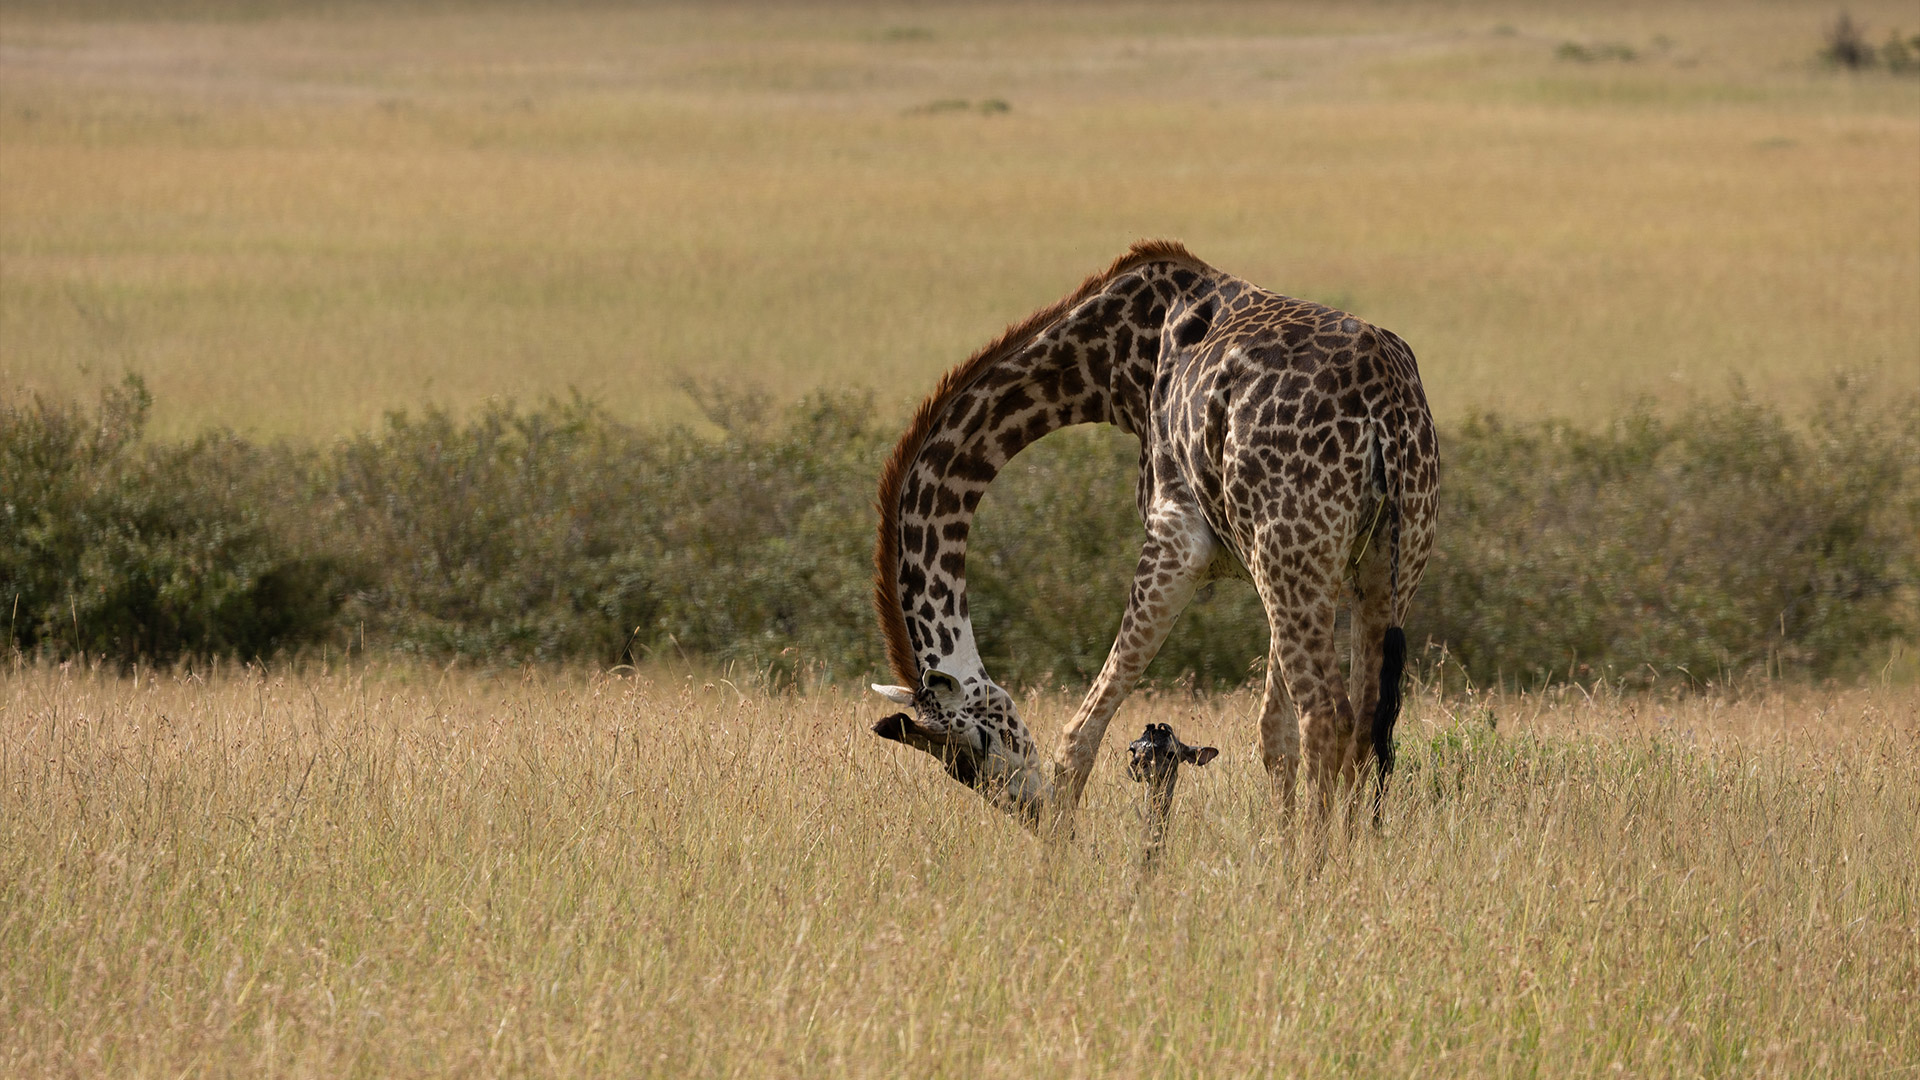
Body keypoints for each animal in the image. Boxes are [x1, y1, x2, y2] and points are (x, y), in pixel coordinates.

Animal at [871, 239, 1443, 826]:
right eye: (954, 767)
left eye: (976, 749)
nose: (1029, 812)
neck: (1117, 363)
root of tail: (1386, 405)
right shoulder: (1260, 565)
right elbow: (1271, 735)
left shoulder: (1178, 541)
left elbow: (1079, 735)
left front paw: (1063, 843)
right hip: (1379, 563)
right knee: (1367, 720)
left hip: (1297, 555)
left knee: (1328, 715)